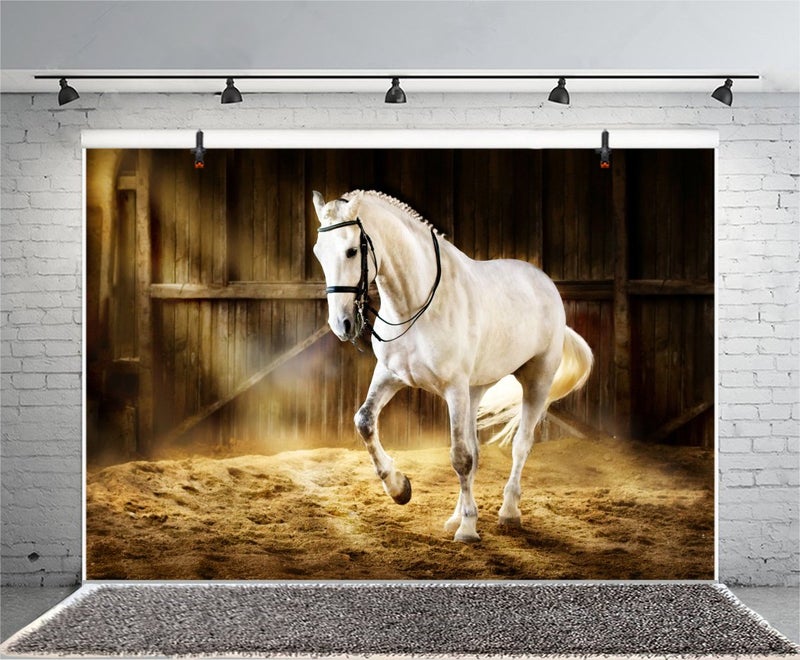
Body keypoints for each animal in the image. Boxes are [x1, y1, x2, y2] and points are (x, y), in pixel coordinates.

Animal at [311, 189, 593, 542]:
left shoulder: (454, 389)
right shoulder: (390, 375)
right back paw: (455, 516)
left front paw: (469, 529)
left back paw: (508, 512)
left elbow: (460, 458)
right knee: (476, 450)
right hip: (476, 390)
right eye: (318, 253)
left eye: (351, 251)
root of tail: (545, 282)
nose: (342, 325)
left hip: (536, 380)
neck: (415, 306)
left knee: (520, 445)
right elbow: (364, 421)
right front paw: (400, 489)